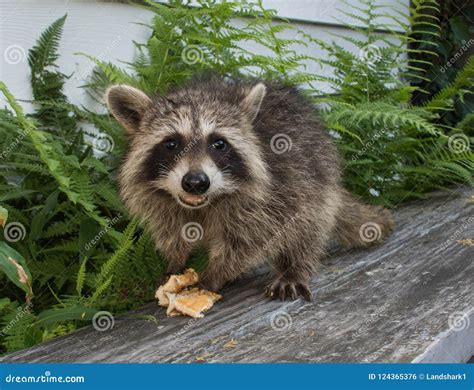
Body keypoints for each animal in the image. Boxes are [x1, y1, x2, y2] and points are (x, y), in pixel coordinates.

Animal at [105, 77, 394, 302]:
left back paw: (294, 267)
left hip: (316, 176)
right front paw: (176, 260)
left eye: (219, 143)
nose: (196, 182)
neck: (205, 203)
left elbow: (248, 240)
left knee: (307, 223)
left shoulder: (272, 192)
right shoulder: (164, 201)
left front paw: (216, 274)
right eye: (172, 143)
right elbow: (172, 230)